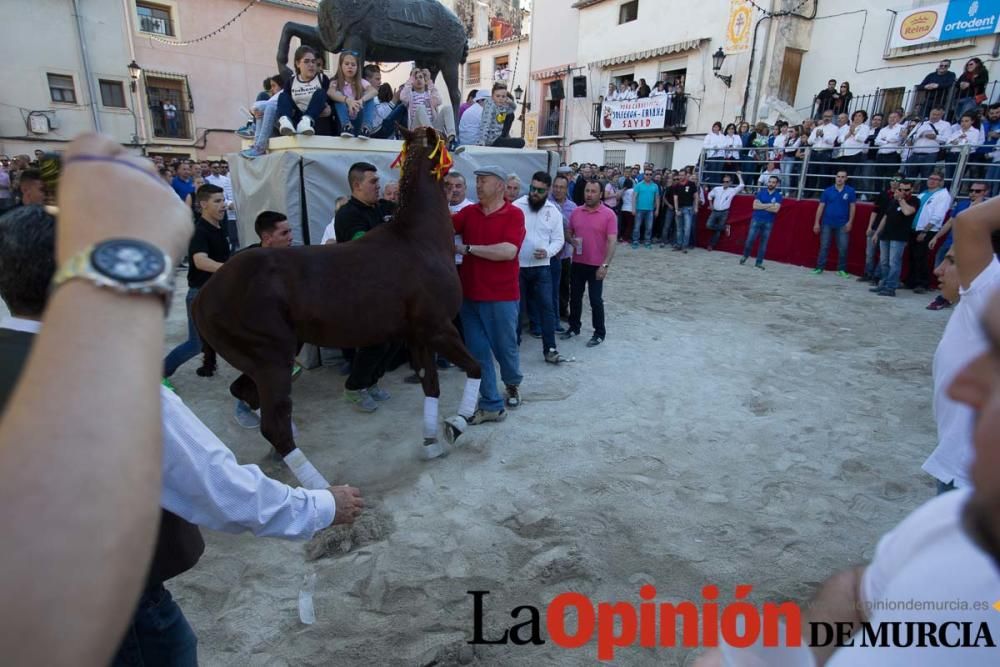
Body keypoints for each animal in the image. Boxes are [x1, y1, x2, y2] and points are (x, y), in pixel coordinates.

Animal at [193, 126, 482, 490]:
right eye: (445, 137)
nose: (463, 147)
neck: (418, 240)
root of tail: (205, 294)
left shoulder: (418, 337)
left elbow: (430, 384)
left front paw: (431, 443)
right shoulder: (441, 328)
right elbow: (476, 367)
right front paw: (458, 423)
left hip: (266, 358)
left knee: (245, 393)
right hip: (271, 360)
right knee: (275, 426)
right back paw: (321, 487)